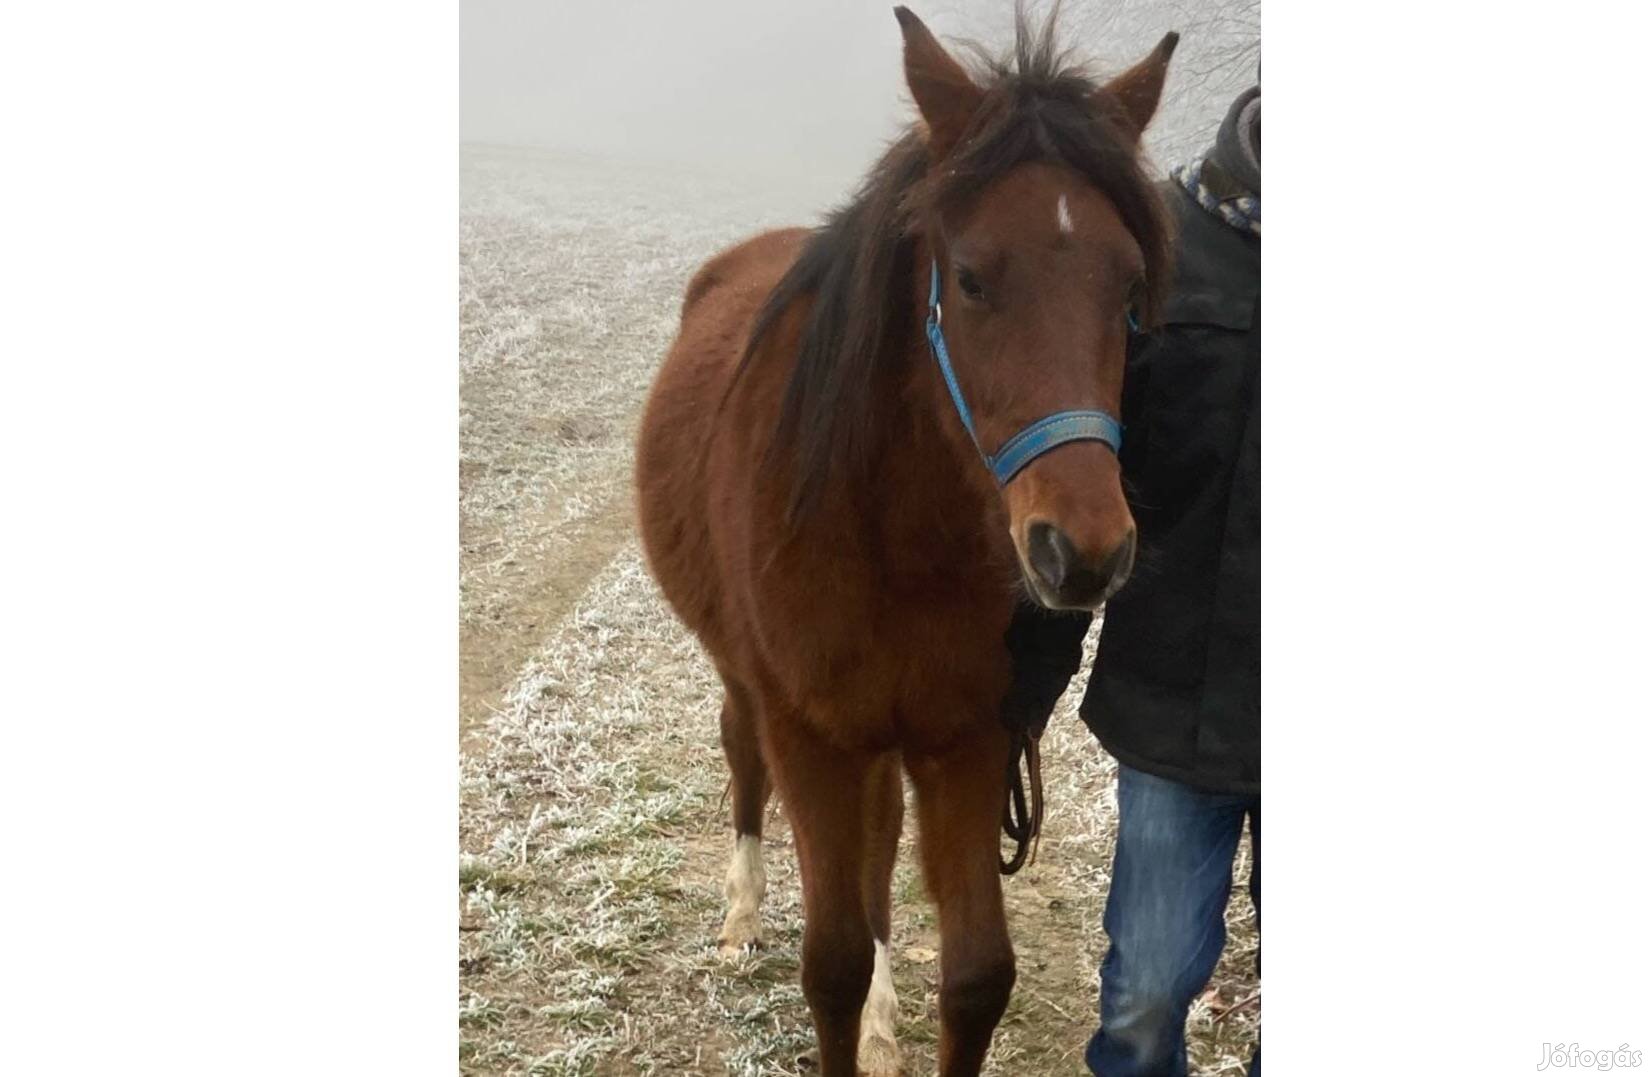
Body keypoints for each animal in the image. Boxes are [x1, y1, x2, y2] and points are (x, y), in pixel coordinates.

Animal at [627, 6, 1175, 1070]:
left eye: (1131, 290)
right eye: (967, 279)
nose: (1083, 551)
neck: (889, 534)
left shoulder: (965, 737)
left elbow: (975, 974)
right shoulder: (810, 736)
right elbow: (831, 965)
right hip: (749, 682)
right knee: (741, 752)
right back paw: (742, 914)